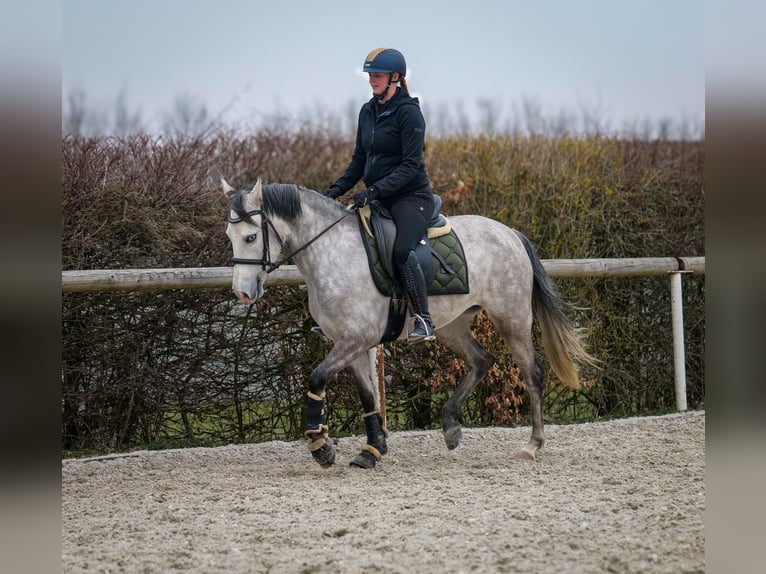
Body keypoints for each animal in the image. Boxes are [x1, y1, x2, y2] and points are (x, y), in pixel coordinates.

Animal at [222, 179, 600, 468]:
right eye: (229, 235)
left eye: (251, 237)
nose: (243, 292)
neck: (332, 253)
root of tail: (509, 232)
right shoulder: (350, 343)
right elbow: (368, 396)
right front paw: (372, 449)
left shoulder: (356, 338)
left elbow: (317, 377)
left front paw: (320, 443)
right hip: (451, 326)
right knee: (482, 360)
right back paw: (450, 427)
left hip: (512, 319)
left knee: (532, 373)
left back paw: (532, 444)